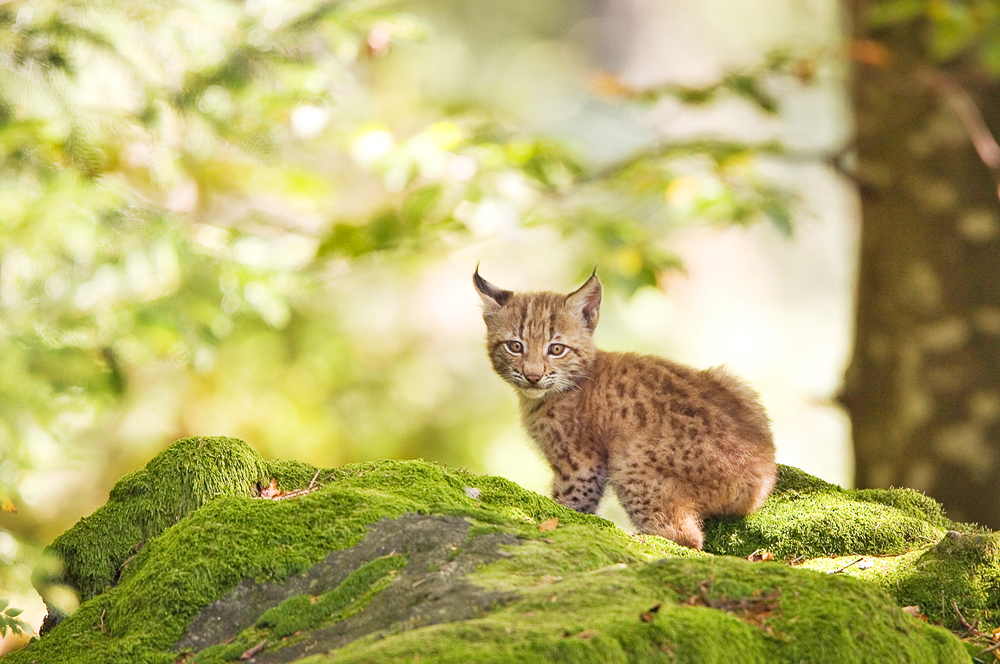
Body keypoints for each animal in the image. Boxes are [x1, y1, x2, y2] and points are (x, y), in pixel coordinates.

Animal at [472, 268, 776, 548]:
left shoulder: (581, 463)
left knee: (687, 537)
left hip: (627, 456)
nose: (532, 376)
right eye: (515, 346)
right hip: (734, 382)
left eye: (556, 349)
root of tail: (760, 479)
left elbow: (569, 501)